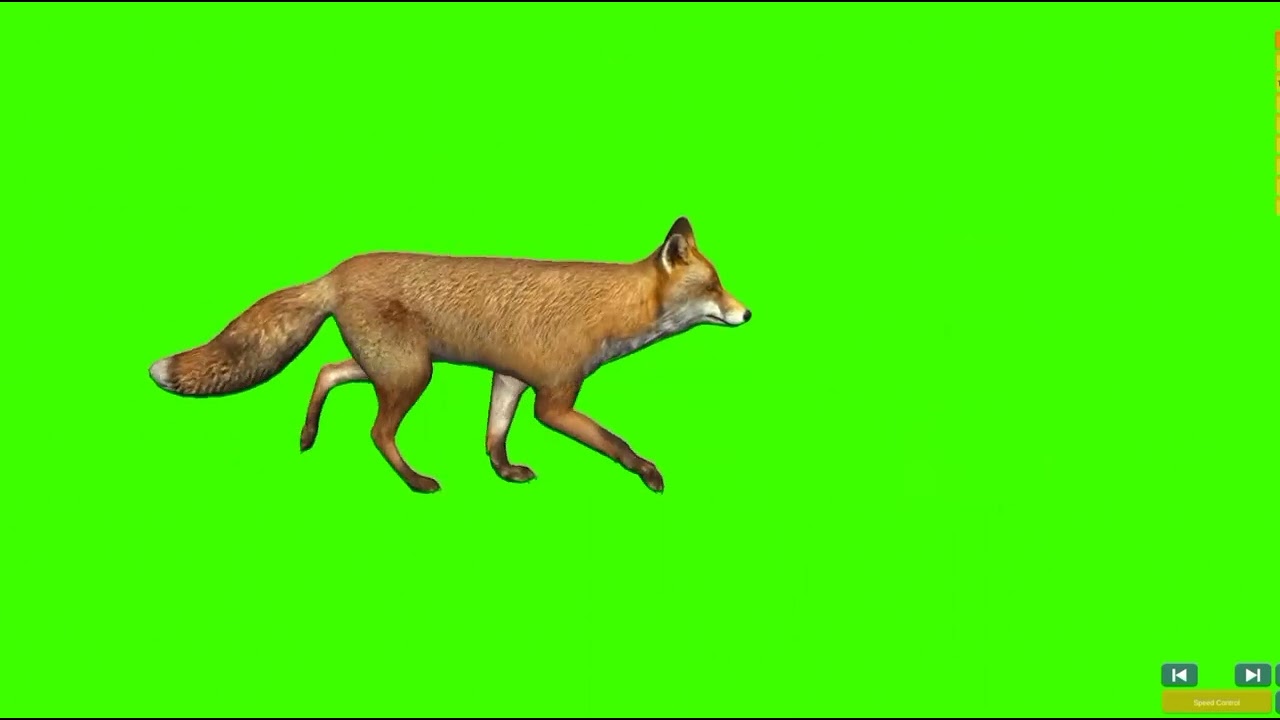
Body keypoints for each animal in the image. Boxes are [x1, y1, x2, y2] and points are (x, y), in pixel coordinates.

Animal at [148, 216, 751, 494]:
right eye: (714, 288)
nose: (748, 314)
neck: (609, 310)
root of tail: (336, 272)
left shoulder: (510, 378)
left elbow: (493, 436)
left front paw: (505, 472)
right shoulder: (554, 402)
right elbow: (615, 441)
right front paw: (648, 474)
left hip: (392, 368)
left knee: (326, 371)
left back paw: (307, 435)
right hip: (411, 375)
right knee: (377, 431)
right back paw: (415, 482)